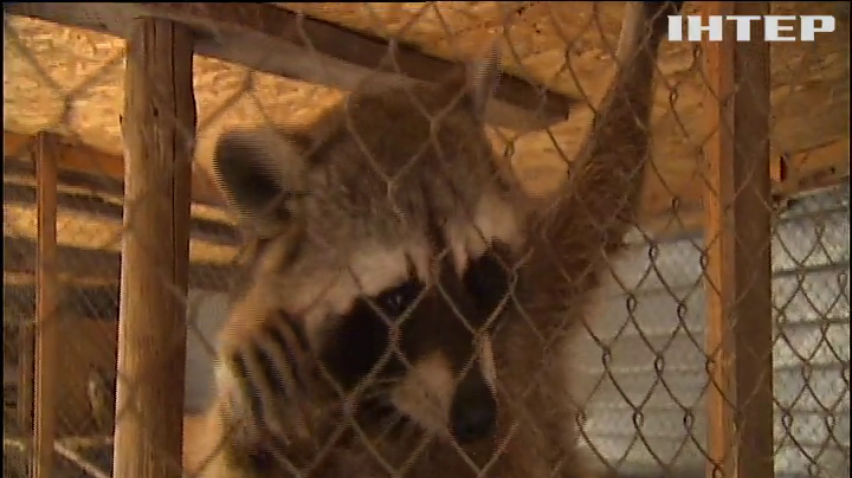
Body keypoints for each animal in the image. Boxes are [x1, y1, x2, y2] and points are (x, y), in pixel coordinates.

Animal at [190, 2, 683, 477]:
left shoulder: (527, 320)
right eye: (396, 299)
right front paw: (240, 403)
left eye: (479, 271)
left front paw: (640, 42)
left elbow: (601, 194)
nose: (477, 417)